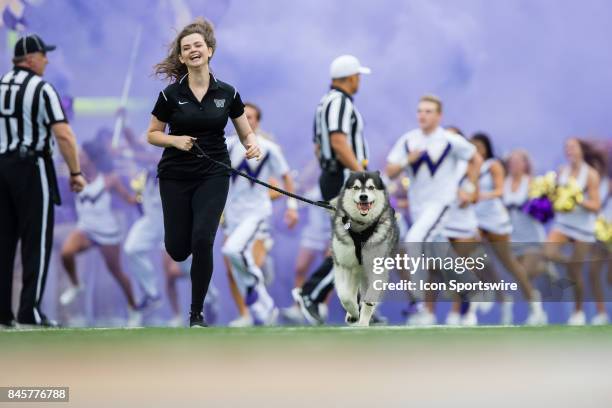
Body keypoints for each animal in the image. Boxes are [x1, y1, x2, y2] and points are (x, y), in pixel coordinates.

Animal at [328, 171, 400, 326]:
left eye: (371, 187)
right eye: (356, 187)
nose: (363, 197)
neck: (361, 229)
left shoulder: (377, 266)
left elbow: (369, 298)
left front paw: (363, 319)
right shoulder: (343, 264)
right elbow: (345, 296)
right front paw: (354, 312)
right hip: (354, 270)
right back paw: (352, 315)